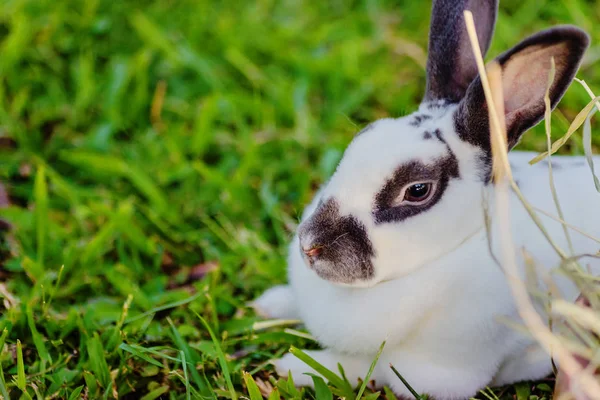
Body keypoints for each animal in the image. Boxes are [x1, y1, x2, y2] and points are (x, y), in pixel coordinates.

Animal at [251, 1, 596, 398]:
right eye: (361, 139)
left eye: (417, 190)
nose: (310, 247)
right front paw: (267, 304)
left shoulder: (430, 374)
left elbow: (363, 367)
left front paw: (293, 365)